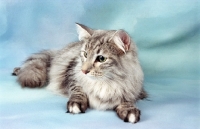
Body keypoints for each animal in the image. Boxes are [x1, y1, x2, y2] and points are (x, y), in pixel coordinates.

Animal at [12, 23, 147, 124]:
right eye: (85, 54)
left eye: (101, 59)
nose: (84, 70)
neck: (105, 83)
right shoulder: (73, 75)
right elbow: (78, 91)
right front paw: (76, 104)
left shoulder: (133, 90)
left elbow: (126, 100)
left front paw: (129, 110)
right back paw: (17, 70)